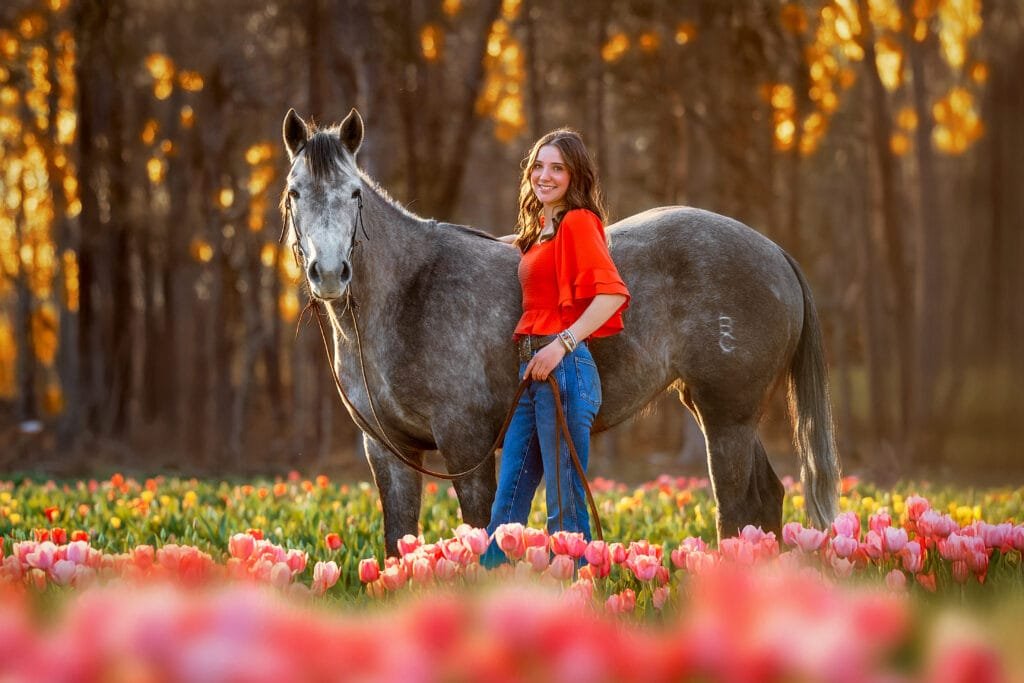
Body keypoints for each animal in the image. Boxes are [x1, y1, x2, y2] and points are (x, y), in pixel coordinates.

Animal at [280, 108, 841, 557]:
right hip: (725, 414)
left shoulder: (466, 446)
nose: (329, 274)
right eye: (294, 193)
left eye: (354, 193)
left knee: (735, 510)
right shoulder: (390, 452)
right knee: (765, 500)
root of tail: (774, 251)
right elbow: (399, 540)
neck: (413, 291)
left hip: (728, 417)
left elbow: (479, 529)